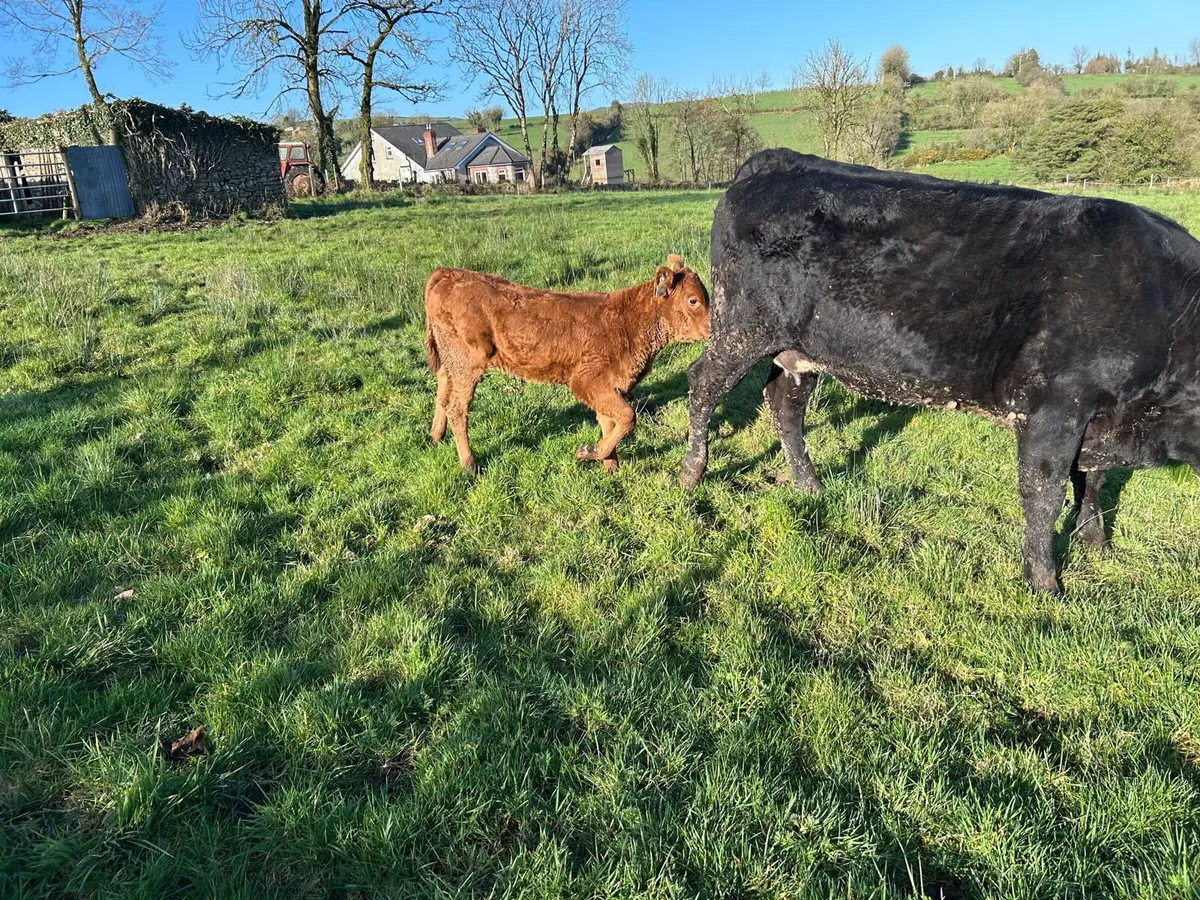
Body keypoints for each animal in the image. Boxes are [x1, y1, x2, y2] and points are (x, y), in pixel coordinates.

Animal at [425, 256, 710, 474]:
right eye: (693, 300)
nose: (715, 326)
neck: (630, 322)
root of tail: (447, 272)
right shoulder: (586, 380)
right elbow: (628, 417)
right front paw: (589, 452)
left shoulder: (610, 385)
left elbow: (610, 422)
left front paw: (611, 466)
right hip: (467, 362)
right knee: (457, 408)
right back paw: (469, 463)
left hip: (451, 358)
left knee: (443, 390)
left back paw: (436, 437)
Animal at [679, 149, 1200, 594]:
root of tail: (774, 162)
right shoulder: (1056, 408)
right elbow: (1044, 492)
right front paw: (1044, 581)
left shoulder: (1100, 418)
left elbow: (1091, 481)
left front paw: (1096, 543)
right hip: (742, 328)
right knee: (703, 384)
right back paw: (692, 472)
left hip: (799, 350)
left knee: (784, 406)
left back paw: (810, 486)